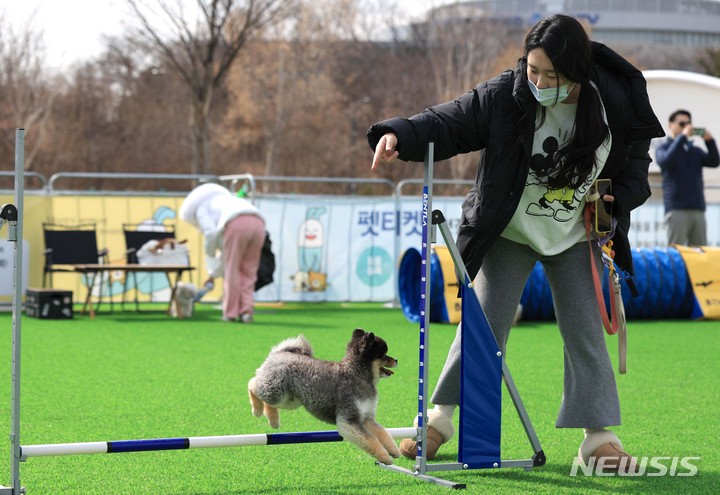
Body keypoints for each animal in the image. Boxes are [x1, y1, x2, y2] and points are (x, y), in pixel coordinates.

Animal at [249, 330, 402, 464]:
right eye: (384, 355)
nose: (396, 360)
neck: (358, 375)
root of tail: (278, 353)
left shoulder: (367, 419)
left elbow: (383, 433)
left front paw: (394, 450)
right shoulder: (349, 420)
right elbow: (372, 440)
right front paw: (385, 457)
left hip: (287, 399)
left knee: (268, 401)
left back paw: (273, 420)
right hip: (276, 392)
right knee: (252, 384)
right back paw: (256, 410)